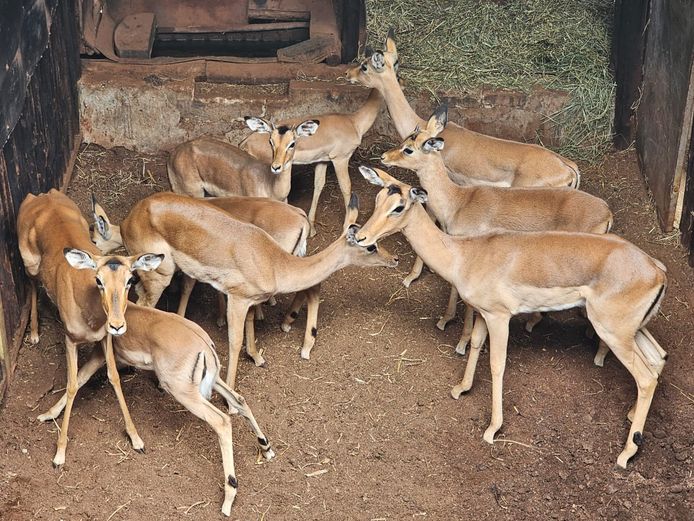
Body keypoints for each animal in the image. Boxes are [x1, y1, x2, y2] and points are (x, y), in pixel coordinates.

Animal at [16, 189, 162, 466]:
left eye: (130, 280)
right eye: (99, 280)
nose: (118, 325)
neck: (91, 314)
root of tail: (40, 194)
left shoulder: (104, 338)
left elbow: (114, 376)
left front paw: (136, 439)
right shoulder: (70, 339)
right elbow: (72, 385)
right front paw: (59, 454)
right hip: (29, 264)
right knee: (31, 284)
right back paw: (34, 334)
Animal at [38, 304, 275, 516]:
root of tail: (205, 345)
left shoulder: (99, 354)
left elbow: (79, 378)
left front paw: (48, 414)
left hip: (184, 392)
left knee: (222, 420)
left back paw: (229, 497)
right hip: (212, 381)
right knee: (239, 400)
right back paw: (266, 447)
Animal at [240, 88, 384, 236]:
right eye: (271, 142)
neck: (353, 122)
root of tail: (245, 142)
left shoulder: (323, 161)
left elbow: (319, 185)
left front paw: (312, 229)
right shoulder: (340, 159)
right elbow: (346, 186)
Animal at [354, 167, 667, 469]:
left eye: (399, 206)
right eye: (378, 199)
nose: (360, 237)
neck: (464, 255)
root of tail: (657, 270)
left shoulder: (499, 317)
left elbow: (497, 364)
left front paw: (493, 429)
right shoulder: (484, 314)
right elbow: (476, 344)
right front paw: (461, 388)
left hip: (613, 332)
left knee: (645, 377)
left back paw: (626, 454)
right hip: (632, 331)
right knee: (658, 359)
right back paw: (632, 417)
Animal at [380, 107, 613, 354]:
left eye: (409, 148)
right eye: (406, 138)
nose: (384, 156)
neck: (459, 201)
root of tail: (607, 212)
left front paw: (461, 342)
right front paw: (445, 321)